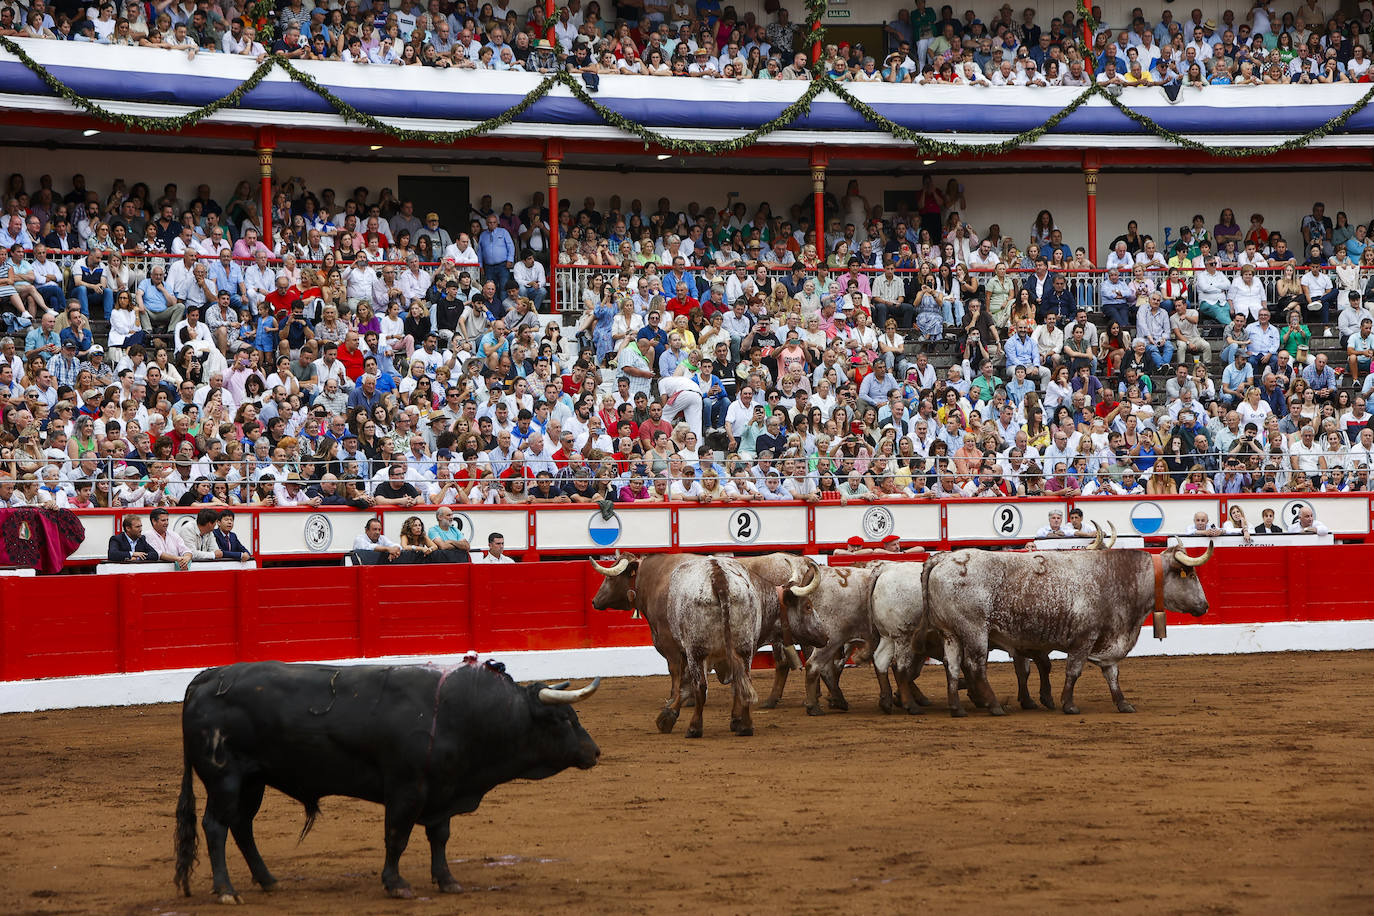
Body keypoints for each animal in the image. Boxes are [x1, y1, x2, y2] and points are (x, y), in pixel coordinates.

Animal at [174, 659, 599, 900]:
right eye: (563, 719)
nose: (594, 752)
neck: (464, 713)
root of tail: (207, 679)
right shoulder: (406, 790)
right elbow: (397, 837)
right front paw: (396, 884)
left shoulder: (443, 788)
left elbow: (440, 837)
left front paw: (447, 880)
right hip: (224, 778)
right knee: (216, 826)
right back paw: (226, 891)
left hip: (254, 780)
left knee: (242, 826)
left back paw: (268, 881)